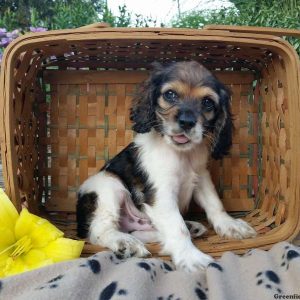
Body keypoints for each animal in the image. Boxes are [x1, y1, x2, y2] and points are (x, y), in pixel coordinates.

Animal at [76, 61, 256, 272]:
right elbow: (177, 228)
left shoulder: (201, 177)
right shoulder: (161, 194)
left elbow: (215, 204)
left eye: (207, 102)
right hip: (109, 186)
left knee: (140, 231)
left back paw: (191, 227)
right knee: (99, 230)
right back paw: (125, 242)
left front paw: (230, 225)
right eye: (170, 94)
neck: (181, 154)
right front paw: (192, 258)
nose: (187, 122)